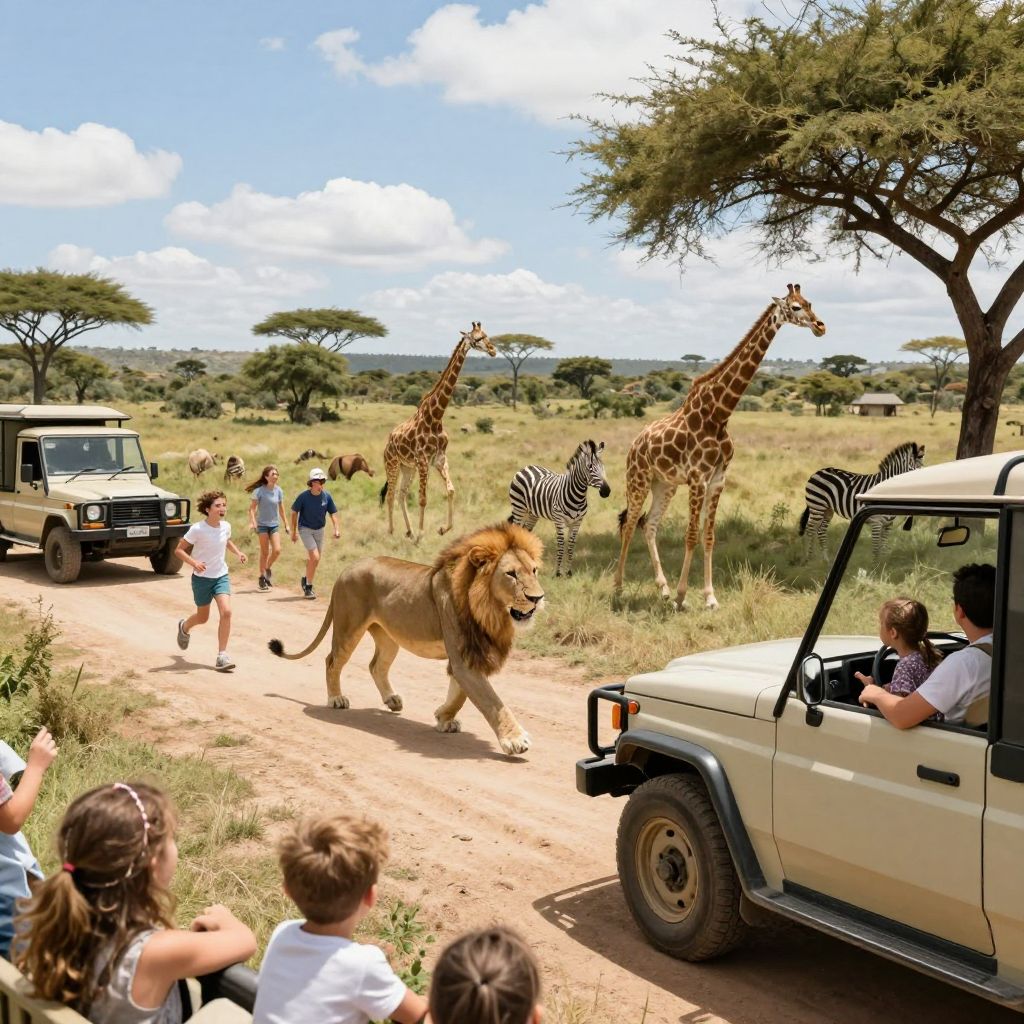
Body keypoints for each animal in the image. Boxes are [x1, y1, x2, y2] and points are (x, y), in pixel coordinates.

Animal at [268, 522, 544, 756]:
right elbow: (491, 701)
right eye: (511, 574)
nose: (538, 597)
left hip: (389, 637)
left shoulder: (468, 655)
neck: (490, 610)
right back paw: (336, 698)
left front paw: (443, 717)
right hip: (348, 628)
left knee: (376, 665)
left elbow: (459, 694)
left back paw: (392, 700)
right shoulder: (464, 658)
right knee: (332, 660)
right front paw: (515, 739)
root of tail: (346, 569)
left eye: (534, 570)